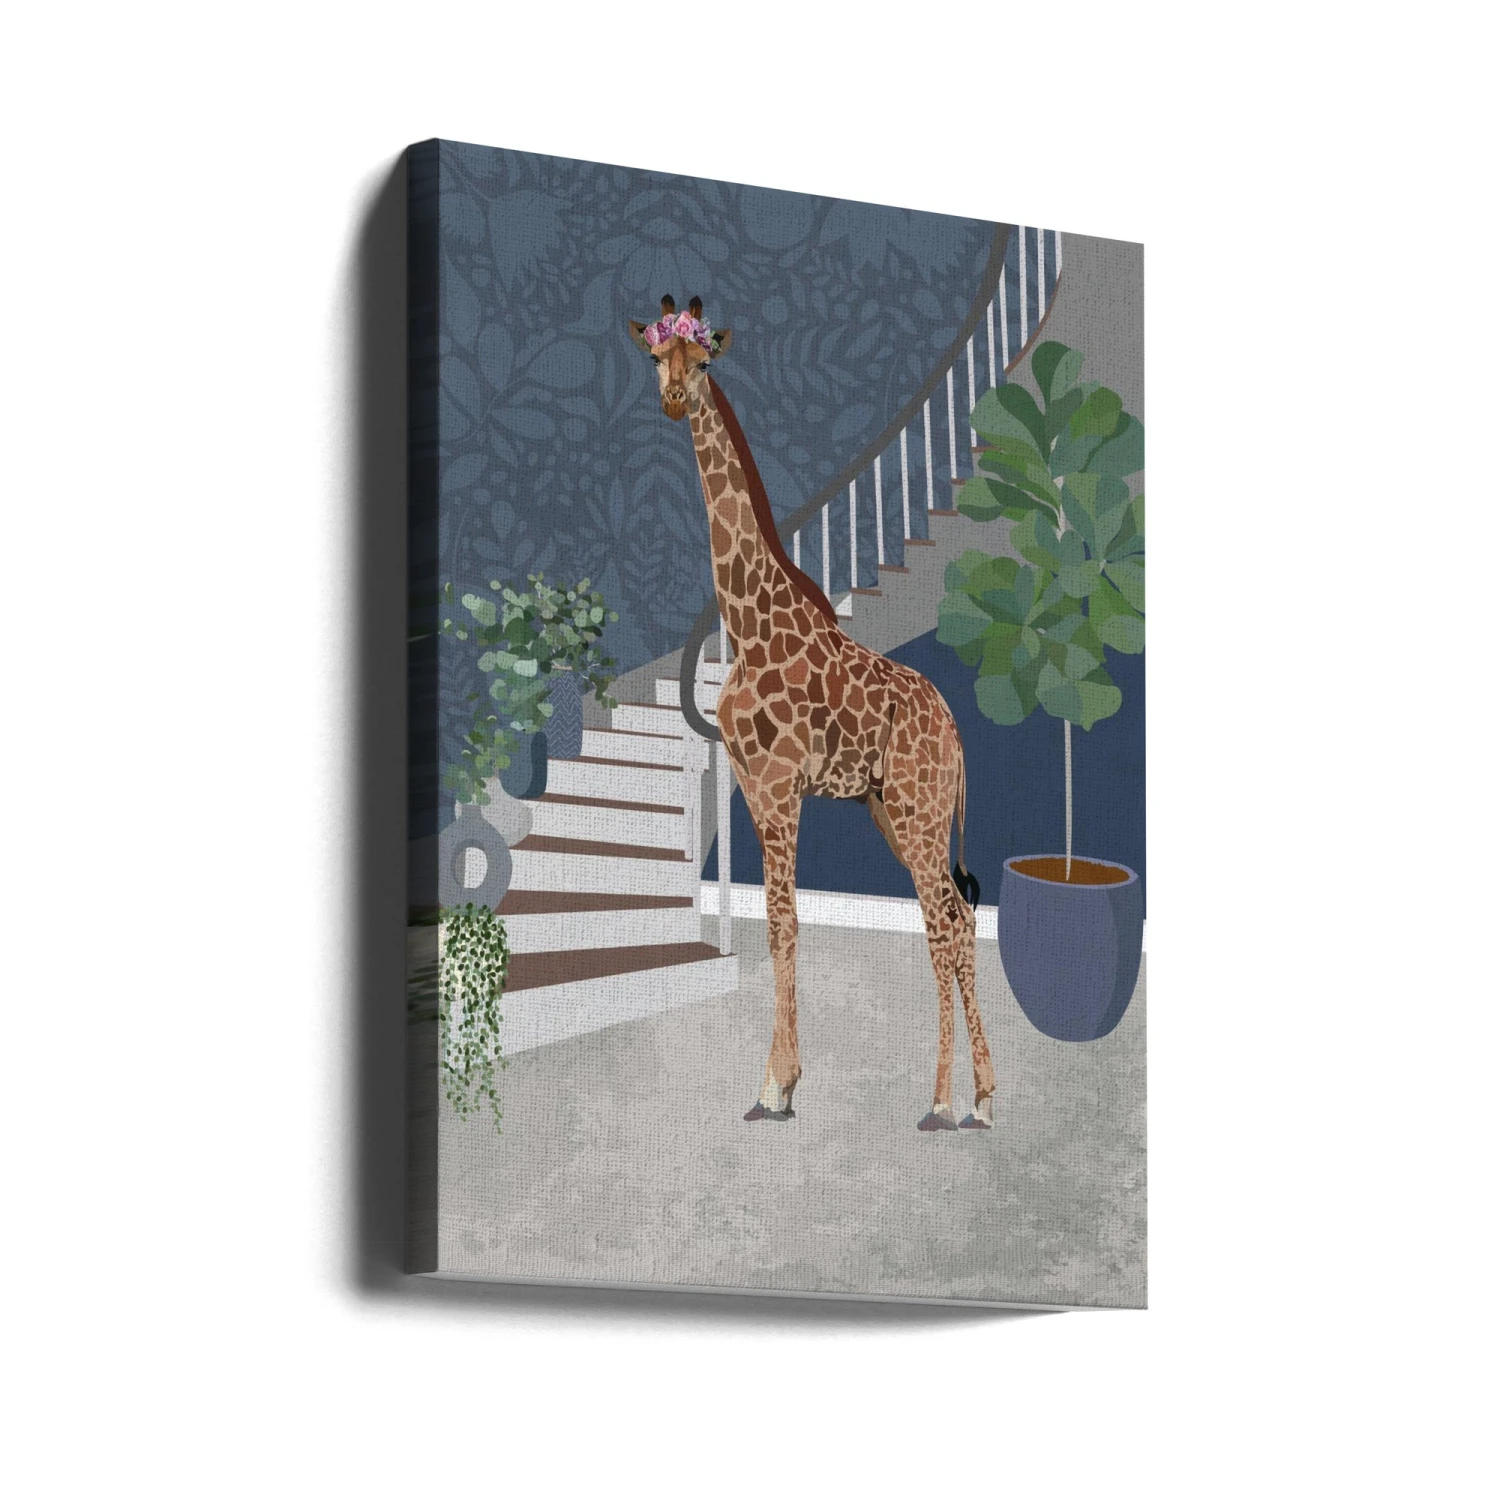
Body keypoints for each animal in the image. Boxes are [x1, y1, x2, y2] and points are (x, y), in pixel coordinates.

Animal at [629, 296, 996, 1131]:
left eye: (704, 360)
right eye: (657, 358)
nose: (674, 399)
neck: (747, 621)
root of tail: (957, 734)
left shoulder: (777, 786)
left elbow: (782, 923)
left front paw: (776, 1086)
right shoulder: (752, 785)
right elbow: (778, 923)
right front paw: (782, 1080)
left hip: (920, 812)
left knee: (945, 923)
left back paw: (943, 1102)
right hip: (893, 811)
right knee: (954, 920)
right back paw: (983, 1097)